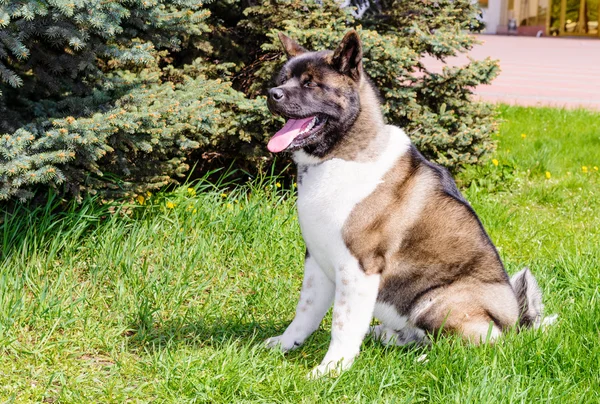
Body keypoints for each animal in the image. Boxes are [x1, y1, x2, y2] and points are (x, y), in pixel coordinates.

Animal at [262, 30, 552, 378]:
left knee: (474, 344)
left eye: (310, 83)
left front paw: (332, 369)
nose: (271, 94)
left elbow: (343, 323)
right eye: (283, 79)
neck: (342, 156)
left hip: (438, 301)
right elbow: (305, 312)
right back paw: (388, 336)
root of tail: (515, 325)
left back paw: (424, 359)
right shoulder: (317, 261)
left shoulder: (359, 267)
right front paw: (286, 344)